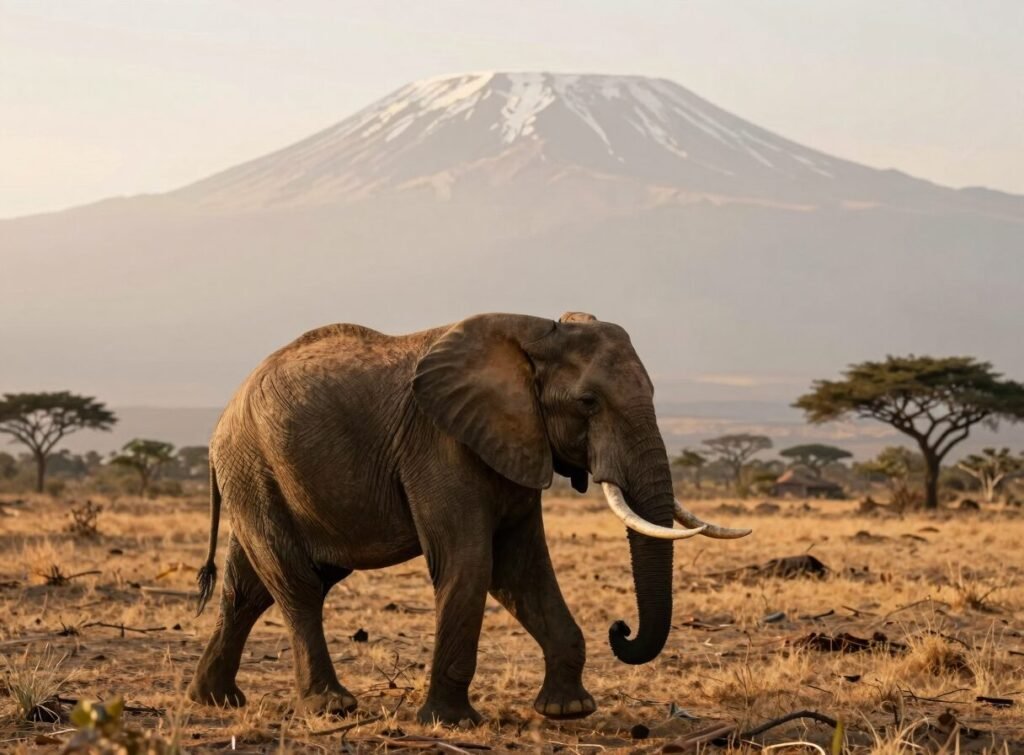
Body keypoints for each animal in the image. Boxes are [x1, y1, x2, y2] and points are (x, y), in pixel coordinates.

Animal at [186, 312, 749, 725]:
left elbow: (521, 570)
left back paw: (213, 700)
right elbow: (471, 561)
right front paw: (449, 722)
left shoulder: (517, 440)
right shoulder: (439, 443)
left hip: (260, 476)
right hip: (255, 466)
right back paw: (331, 707)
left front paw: (567, 710)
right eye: (588, 403)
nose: (621, 628)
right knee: (297, 583)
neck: (533, 334)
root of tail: (220, 421)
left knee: (249, 590)